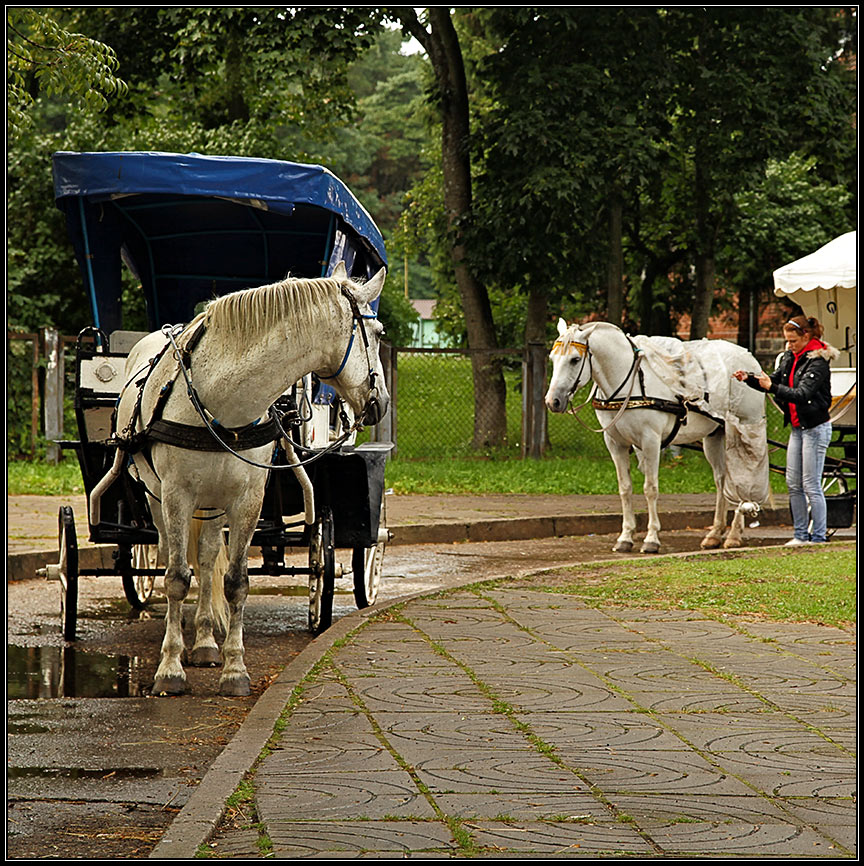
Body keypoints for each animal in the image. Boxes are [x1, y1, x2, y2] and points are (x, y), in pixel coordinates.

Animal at [96, 264, 390, 696]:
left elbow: (234, 581)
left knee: (205, 559)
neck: (225, 399)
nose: (380, 402)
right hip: (156, 497)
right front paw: (170, 668)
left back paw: (204, 642)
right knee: (170, 553)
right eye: (379, 332)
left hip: (214, 502)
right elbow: (175, 578)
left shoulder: (248, 499)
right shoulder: (177, 495)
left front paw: (234, 669)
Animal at [544, 318, 772, 552]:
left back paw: (734, 534)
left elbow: (650, 488)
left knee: (741, 477)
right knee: (721, 480)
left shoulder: (650, 441)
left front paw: (651, 538)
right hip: (714, 435)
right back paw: (715, 533)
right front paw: (625, 537)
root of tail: (748, 357)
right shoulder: (615, 443)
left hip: (741, 428)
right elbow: (625, 488)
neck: (628, 382)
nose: (553, 401)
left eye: (575, 359)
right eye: (552, 358)